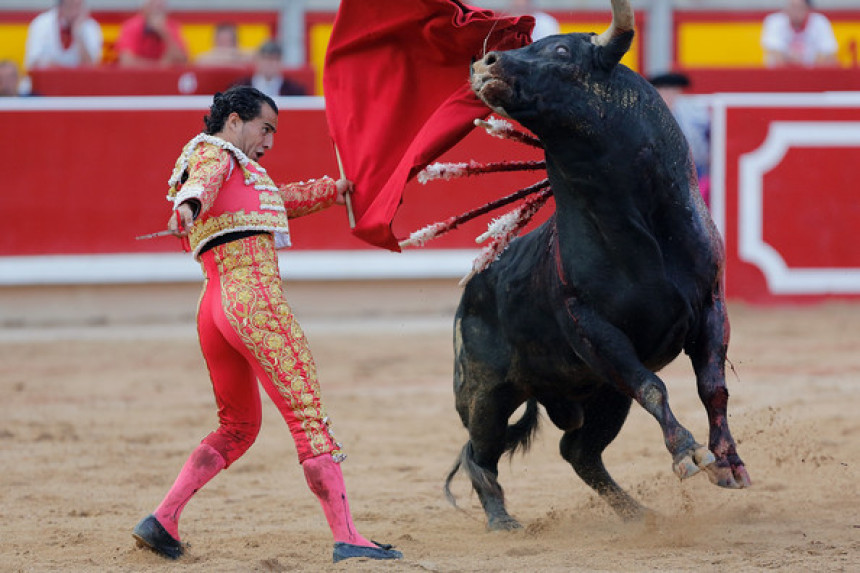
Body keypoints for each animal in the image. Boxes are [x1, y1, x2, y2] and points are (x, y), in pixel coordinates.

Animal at [446, 5, 748, 532]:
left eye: (562, 50)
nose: (485, 63)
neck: (644, 232)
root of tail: (473, 286)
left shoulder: (712, 306)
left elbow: (712, 387)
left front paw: (729, 463)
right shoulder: (592, 327)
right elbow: (654, 386)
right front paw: (689, 454)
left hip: (601, 394)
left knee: (578, 452)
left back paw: (637, 514)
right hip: (485, 391)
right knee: (479, 453)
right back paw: (503, 521)